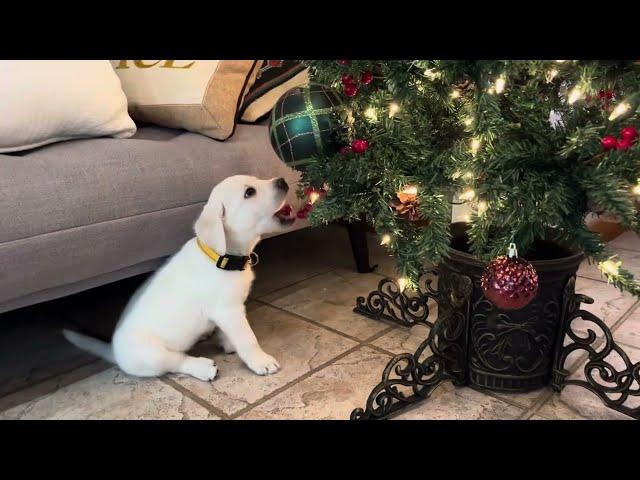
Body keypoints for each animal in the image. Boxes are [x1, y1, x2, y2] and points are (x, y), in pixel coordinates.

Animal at [64, 174, 296, 380]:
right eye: (249, 192)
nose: (282, 181)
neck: (222, 257)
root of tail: (114, 351)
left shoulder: (227, 312)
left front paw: (227, 342)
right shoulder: (228, 310)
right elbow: (248, 338)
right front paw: (261, 361)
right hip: (154, 356)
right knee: (177, 362)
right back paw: (203, 367)